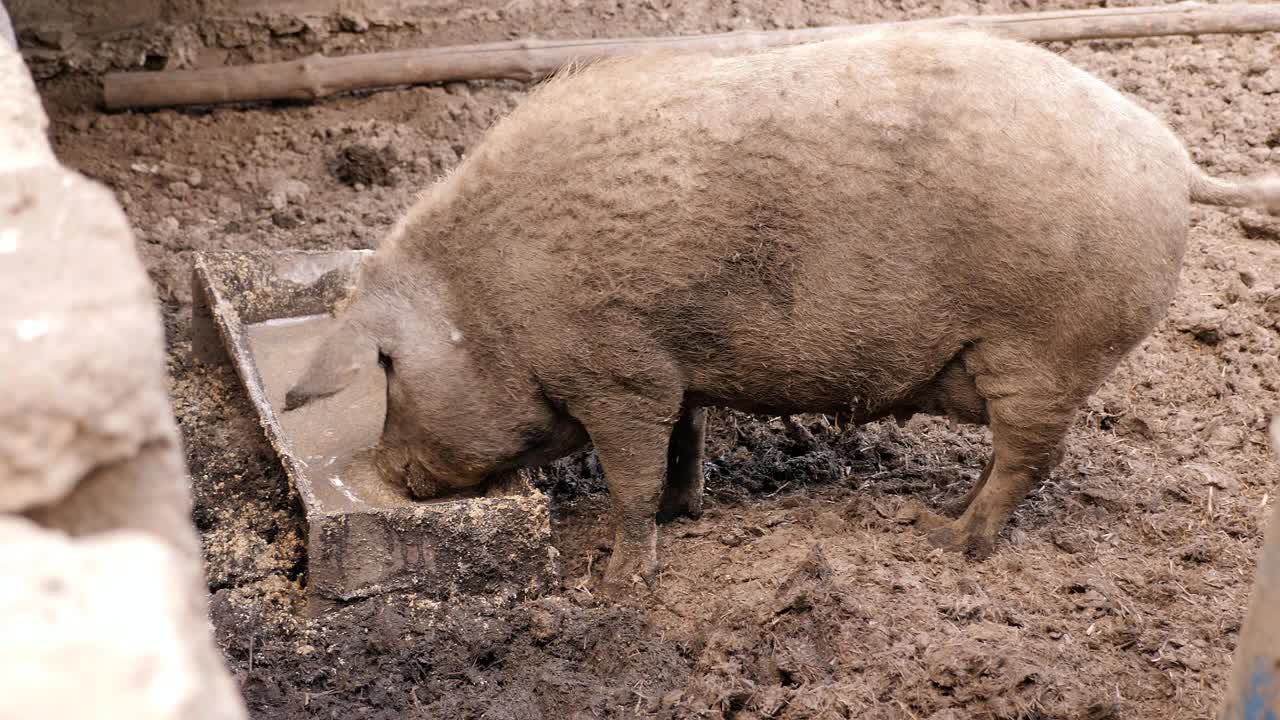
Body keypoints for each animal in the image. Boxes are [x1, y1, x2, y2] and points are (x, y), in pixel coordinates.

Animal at [288, 28, 1280, 594]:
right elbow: (687, 441)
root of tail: (1175, 162)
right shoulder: (671, 365)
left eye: (386, 370)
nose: (386, 473)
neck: (492, 298)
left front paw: (617, 585)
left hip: (1046, 350)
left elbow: (631, 479)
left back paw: (943, 539)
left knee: (1028, 461)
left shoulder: (620, 373)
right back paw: (943, 516)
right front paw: (690, 512)